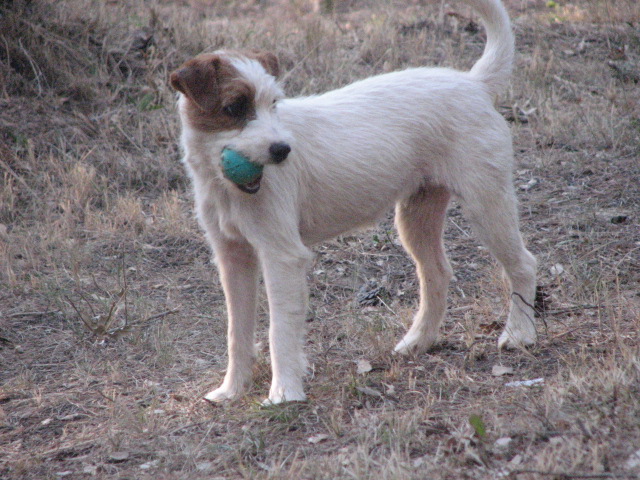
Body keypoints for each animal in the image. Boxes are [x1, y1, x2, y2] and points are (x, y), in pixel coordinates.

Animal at [170, 0, 537, 405]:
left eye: (274, 103)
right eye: (234, 107)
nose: (282, 150)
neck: (224, 183)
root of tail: (473, 83)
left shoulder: (282, 257)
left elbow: (279, 331)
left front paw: (284, 393)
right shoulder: (233, 259)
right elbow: (237, 333)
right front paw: (232, 390)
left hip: (487, 205)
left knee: (523, 264)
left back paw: (519, 334)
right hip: (416, 217)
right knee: (437, 273)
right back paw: (419, 341)